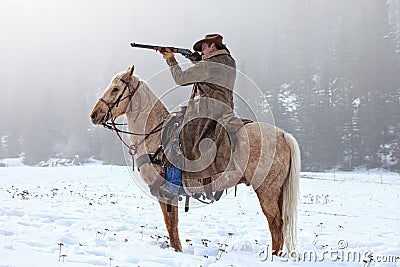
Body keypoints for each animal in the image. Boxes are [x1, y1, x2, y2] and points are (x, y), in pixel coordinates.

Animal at [90, 66, 300, 256]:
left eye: (115, 89)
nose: (94, 115)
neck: (154, 136)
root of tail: (283, 135)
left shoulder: (165, 192)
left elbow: (171, 226)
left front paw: (176, 251)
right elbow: (172, 224)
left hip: (267, 190)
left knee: (275, 224)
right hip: (277, 191)